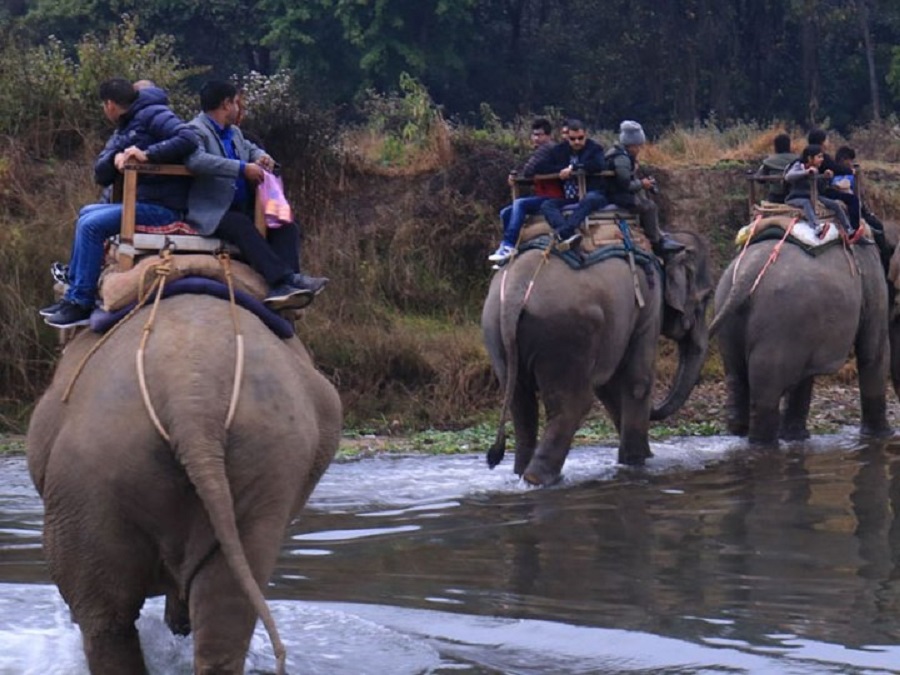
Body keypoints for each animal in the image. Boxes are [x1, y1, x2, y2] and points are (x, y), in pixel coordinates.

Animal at [482, 232, 712, 486]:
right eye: (707, 297)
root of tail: (516, 291)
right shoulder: (650, 308)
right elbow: (637, 383)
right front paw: (638, 463)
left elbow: (608, 387)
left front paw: (641, 459)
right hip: (566, 332)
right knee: (573, 404)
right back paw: (540, 478)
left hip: (497, 331)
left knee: (520, 403)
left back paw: (522, 474)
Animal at [712, 231, 892, 444]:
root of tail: (746, 274)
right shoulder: (872, 276)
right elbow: (873, 351)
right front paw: (883, 436)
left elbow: (804, 375)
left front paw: (796, 438)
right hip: (779, 319)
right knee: (766, 386)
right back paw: (763, 444)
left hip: (728, 307)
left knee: (735, 375)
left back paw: (739, 432)